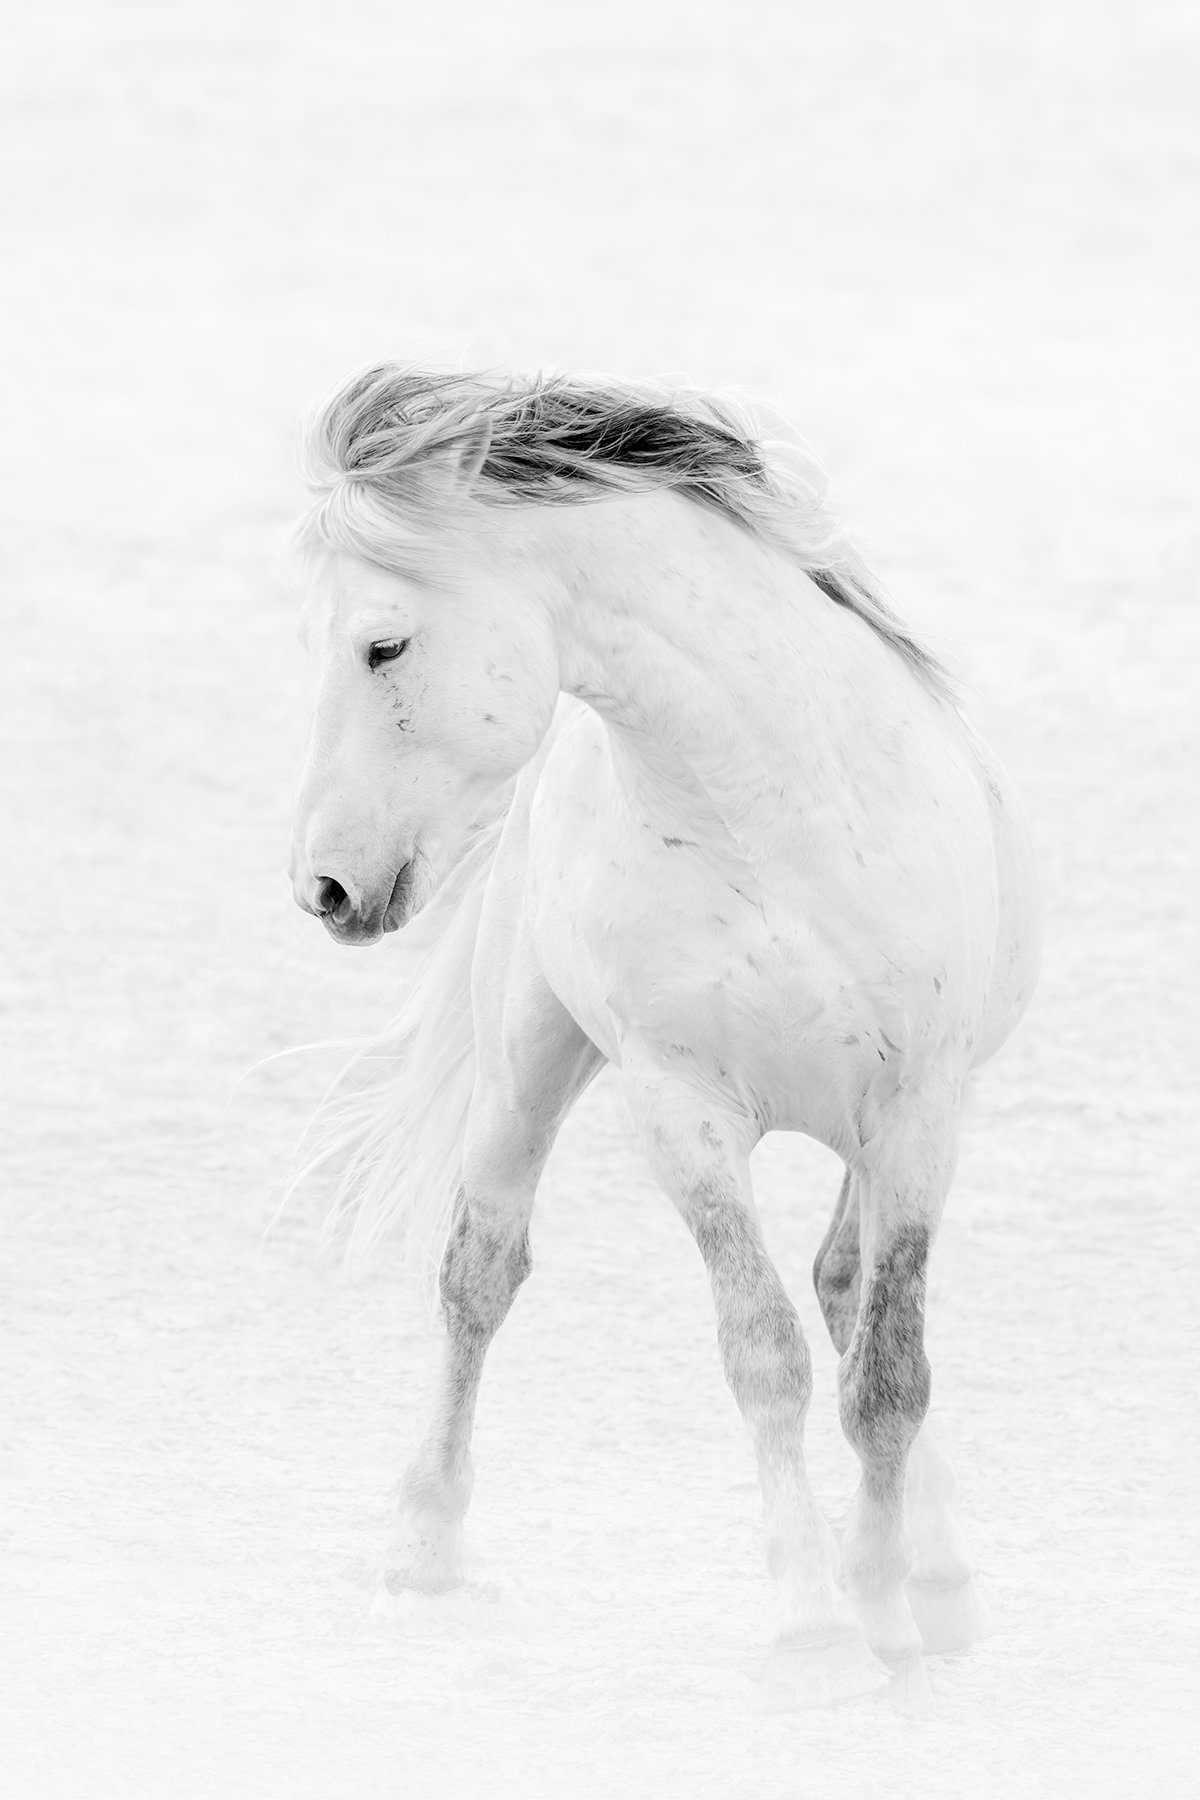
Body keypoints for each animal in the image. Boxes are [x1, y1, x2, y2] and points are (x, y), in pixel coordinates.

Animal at [286, 364, 1042, 1710]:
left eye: (383, 643)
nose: (324, 885)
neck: (777, 812)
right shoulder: (683, 1112)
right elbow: (767, 1358)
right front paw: (816, 1624)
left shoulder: (917, 1116)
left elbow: (889, 1376)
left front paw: (889, 1608)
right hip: (525, 1071)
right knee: (478, 1282)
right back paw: (420, 1557)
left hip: (866, 1140)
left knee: (850, 1297)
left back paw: (939, 1581)